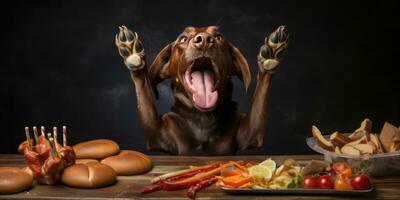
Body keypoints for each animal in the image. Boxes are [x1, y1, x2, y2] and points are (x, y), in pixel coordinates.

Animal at [115, 25, 288, 155]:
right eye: (183, 39)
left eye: (218, 37)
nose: (204, 40)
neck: (203, 118)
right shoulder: (157, 136)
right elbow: (144, 91)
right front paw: (132, 52)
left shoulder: (250, 134)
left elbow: (260, 95)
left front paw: (271, 55)